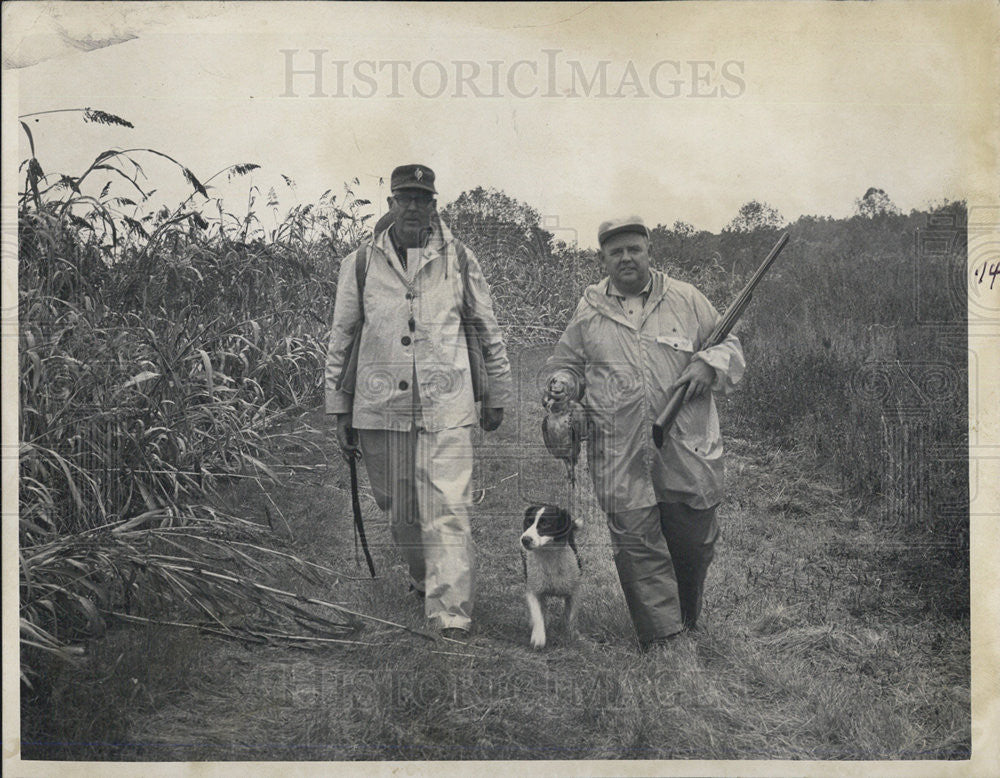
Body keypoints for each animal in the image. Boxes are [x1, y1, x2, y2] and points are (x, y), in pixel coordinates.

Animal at [520, 504, 584, 648]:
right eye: (528, 522)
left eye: (545, 524)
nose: (525, 539)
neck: (548, 555)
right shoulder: (533, 590)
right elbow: (538, 614)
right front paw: (538, 637)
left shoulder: (574, 592)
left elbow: (571, 616)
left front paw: (571, 635)